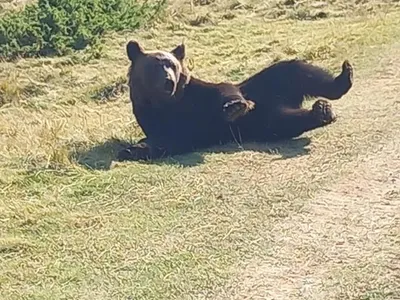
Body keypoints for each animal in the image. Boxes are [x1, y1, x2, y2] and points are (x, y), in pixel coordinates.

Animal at [116, 40, 354, 162]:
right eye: (155, 65)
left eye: (172, 65)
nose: (168, 81)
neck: (168, 103)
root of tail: (286, 101)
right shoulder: (155, 118)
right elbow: (168, 140)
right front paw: (131, 150)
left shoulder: (197, 94)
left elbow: (225, 91)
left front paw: (235, 107)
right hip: (261, 122)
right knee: (283, 121)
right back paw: (321, 111)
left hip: (270, 84)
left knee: (296, 70)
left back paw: (344, 77)